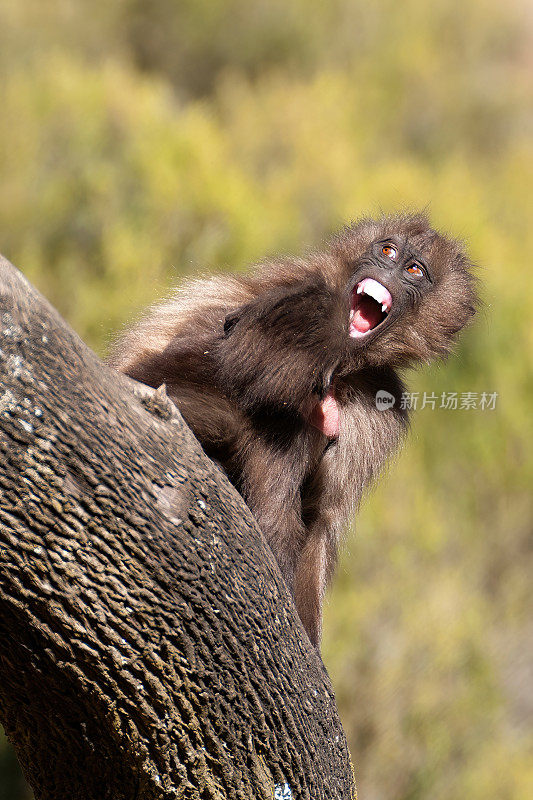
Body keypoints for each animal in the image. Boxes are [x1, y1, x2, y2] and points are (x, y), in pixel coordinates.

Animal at [110, 214, 476, 648]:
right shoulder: (288, 288)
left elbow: (323, 520)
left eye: (414, 270)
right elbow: (239, 357)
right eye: (388, 251)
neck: (344, 363)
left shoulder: (380, 401)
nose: (386, 270)